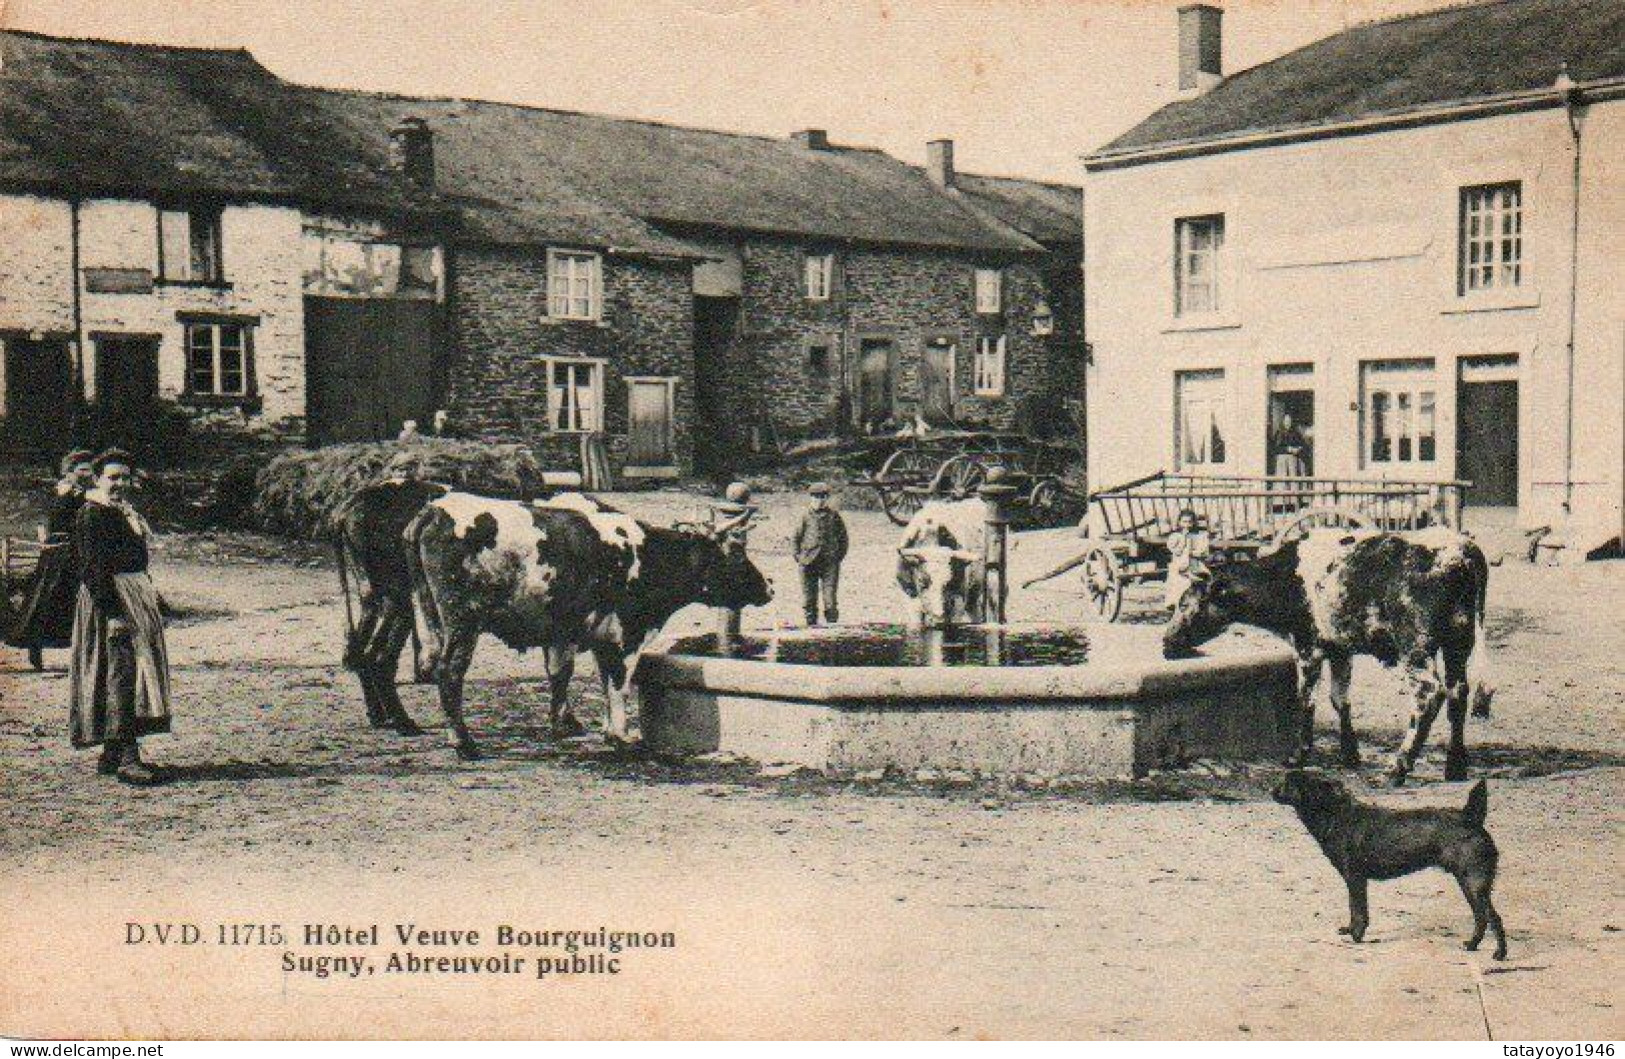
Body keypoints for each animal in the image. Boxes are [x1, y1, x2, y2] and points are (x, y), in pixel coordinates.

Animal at [399, 493, 767, 756]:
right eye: (737, 552)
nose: (770, 587)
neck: (648, 555)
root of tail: (434, 510)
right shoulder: (628, 633)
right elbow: (619, 683)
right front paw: (622, 736)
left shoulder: (598, 637)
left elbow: (599, 681)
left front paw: (606, 731)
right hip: (463, 620)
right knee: (450, 671)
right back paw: (463, 743)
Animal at [1163, 529, 1488, 786]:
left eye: (1185, 604)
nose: (1166, 642)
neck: (1285, 578)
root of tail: (1463, 548)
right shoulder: (1340, 649)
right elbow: (1339, 699)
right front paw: (1350, 754)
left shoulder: (1308, 647)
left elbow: (1306, 700)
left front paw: (1298, 755)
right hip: (1458, 642)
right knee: (1458, 692)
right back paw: (1455, 766)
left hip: (1416, 647)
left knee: (1429, 693)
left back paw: (1398, 767)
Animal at [1274, 769, 1501, 961]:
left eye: (1287, 782)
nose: (1272, 791)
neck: (1334, 814)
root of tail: (1470, 819)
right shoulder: (1355, 880)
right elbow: (1355, 908)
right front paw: (1350, 929)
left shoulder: (1355, 878)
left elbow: (1358, 910)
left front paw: (1356, 935)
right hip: (1471, 885)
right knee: (1481, 917)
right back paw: (1473, 944)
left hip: (1473, 883)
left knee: (1492, 917)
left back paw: (1499, 953)